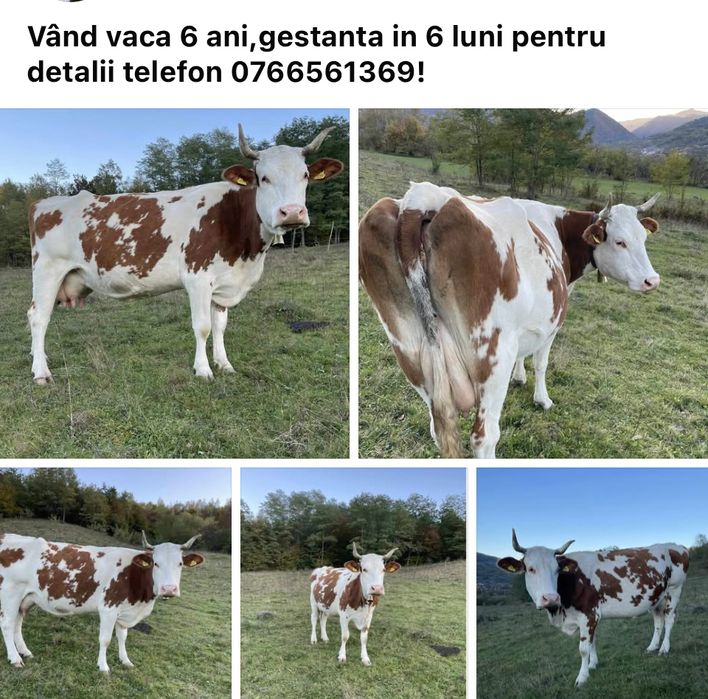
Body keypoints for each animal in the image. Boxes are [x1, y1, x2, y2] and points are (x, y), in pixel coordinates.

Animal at [0, 530, 204, 672]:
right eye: (156, 563)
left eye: (180, 564)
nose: (169, 589)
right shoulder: (108, 608)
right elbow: (105, 639)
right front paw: (103, 666)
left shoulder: (125, 610)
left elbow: (122, 637)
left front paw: (125, 661)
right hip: (10, 593)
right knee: (7, 624)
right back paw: (15, 658)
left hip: (26, 598)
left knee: (17, 623)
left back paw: (24, 651)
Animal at [27, 124, 343, 384]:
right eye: (263, 178)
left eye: (305, 176)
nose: (292, 213)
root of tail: (44, 203)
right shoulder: (197, 277)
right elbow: (202, 327)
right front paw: (203, 370)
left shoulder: (224, 283)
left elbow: (220, 327)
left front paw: (224, 364)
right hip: (48, 271)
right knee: (38, 316)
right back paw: (41, 372)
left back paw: (37, 360)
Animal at [359, 182, 660, 457]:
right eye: (619, 241)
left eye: (643, 239)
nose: (652, 280)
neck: (558, 230)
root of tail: (419, 198)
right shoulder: (550, 327)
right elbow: (541, 363)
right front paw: (542, 399)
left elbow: (523, 355)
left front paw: (519, 377)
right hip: (492, 354)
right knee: (484, 438)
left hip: (412, 354)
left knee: (438, 428)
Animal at [496, 529, 689, 687]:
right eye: (530, 569)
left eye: (557, 570)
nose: (551, 598)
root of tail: (675, 545)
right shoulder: (591, 616)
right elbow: (592, 642)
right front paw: (593, 664)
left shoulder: (589, 614)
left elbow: (583, 649)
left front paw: (582, 677)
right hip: (656, 597)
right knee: (658, 621)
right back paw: (652, 647)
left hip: (674, 590)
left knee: (669, 619)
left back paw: (664, 649)